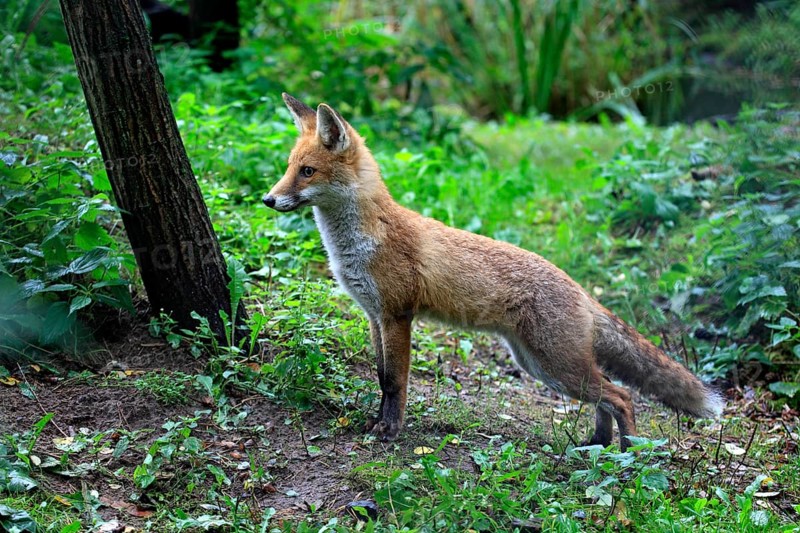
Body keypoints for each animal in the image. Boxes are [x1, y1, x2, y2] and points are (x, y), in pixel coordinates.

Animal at [263, 93, 723, 451]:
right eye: (287, 167)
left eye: (307, 171)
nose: (268, 200)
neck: (361, 241)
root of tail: (580, 289)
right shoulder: (374, 315)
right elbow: (380, 377)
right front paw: (377, 422)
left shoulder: (397, 315)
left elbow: (395, 382)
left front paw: (389, 431)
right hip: (540, 365)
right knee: (607, 396)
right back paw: (597, 445)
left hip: (555, 366)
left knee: (622, 395)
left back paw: (627, 455)